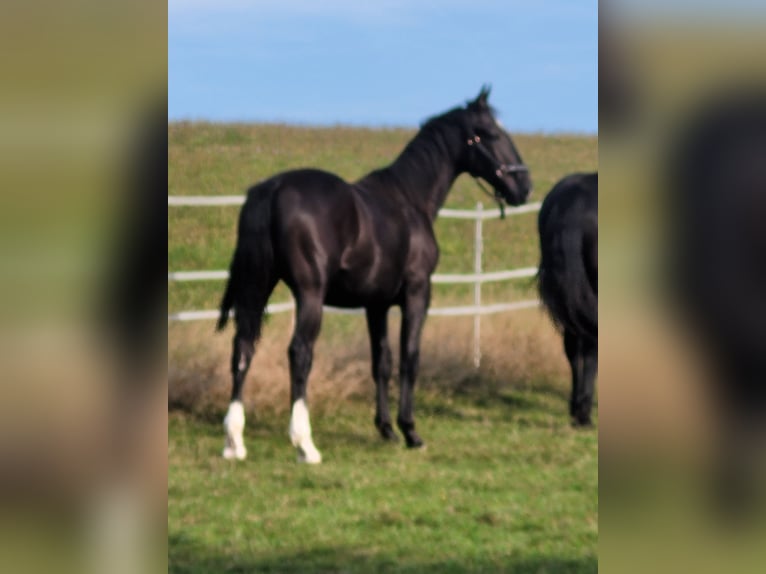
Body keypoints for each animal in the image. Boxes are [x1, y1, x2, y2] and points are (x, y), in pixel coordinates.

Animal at [214, 86, 528, 464]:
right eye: (492, 133)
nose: (524, 185)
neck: (410, 199)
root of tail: (272, 189)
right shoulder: (417, 293)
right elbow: (409, 357)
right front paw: (410, 431)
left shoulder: (375, 304)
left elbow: (382, 361)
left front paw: (387, 429)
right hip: (309, 294)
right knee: (300, 353)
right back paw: (305, 444)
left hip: (257, 286)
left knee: (242, 348)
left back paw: (234, 441)